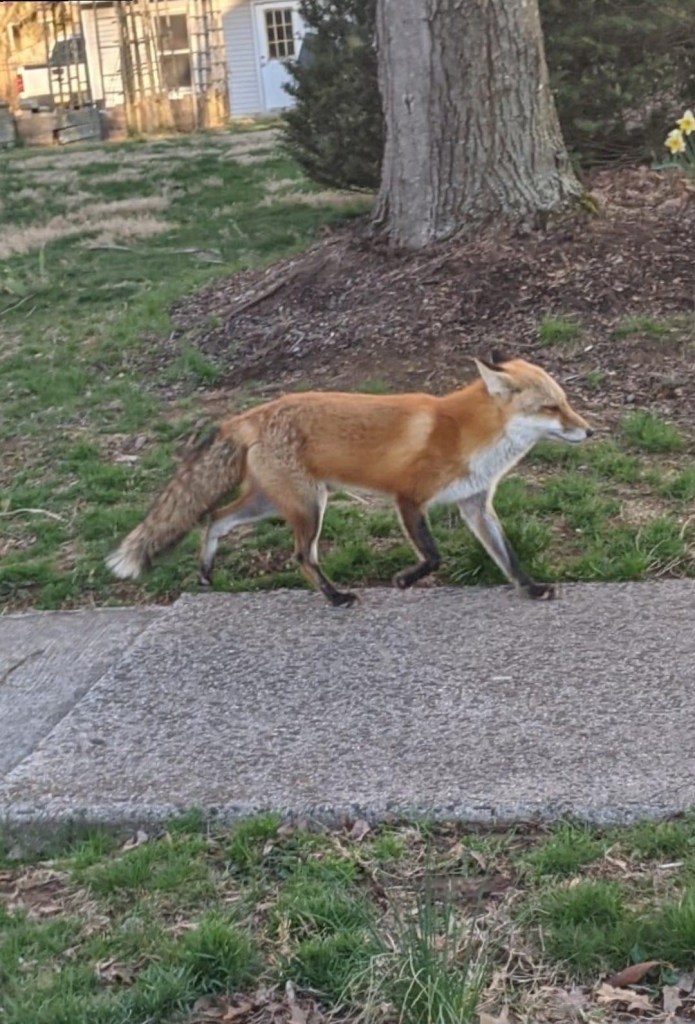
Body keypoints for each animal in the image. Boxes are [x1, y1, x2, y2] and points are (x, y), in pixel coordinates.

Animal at [106, 354, 592, 607]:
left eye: (567, 402)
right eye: (550, 408)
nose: (589, 432)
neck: (468, 436)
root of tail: (254, 413)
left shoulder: (475, 504)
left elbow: (507, 556)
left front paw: (531, 588)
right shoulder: (408, 497)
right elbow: (433, 555)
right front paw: (405, 580)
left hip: (275, 502)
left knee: (214, 518)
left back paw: (206, 570)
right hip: (309, 508)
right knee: (301, 556)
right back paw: (336, 597)